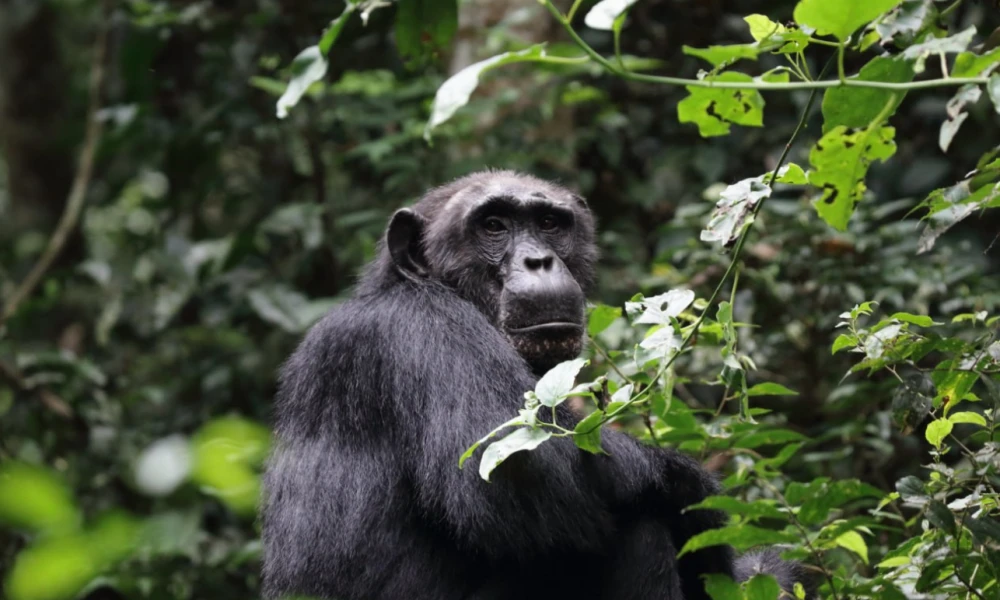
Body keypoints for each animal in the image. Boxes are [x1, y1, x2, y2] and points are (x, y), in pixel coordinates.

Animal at [260, 170, 812, 600]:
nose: (539, 261)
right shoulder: (427, 333)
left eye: (549, 224)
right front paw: (697, 498)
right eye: (493, 226)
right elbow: (521, 471)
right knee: (638, 531)